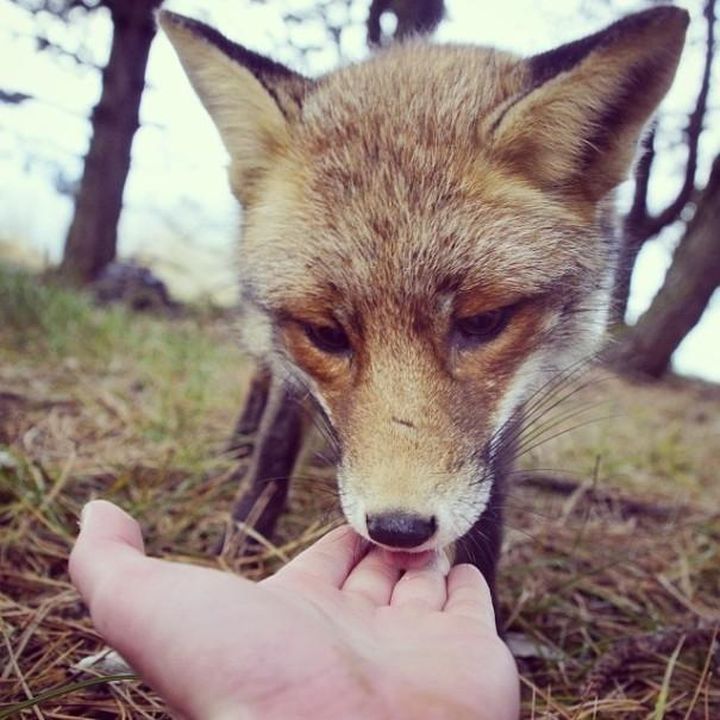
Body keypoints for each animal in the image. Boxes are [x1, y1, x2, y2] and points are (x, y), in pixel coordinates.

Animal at [158, 7, 688, 596]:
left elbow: (490, 499)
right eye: (325, 334)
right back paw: (238, 445)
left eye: (484, 322)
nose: (399, 528)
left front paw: (485, 597)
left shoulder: (518, 387)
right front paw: (244, 537)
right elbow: (277, 435)